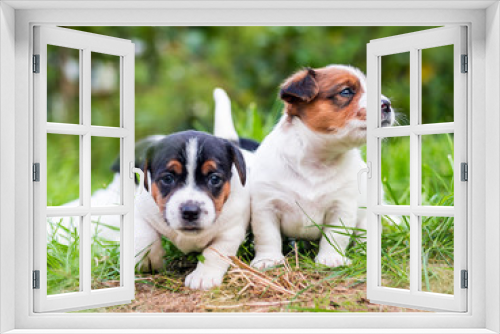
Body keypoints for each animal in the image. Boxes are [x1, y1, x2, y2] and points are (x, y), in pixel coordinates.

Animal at [133, 130, 250, 290]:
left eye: (214, 178)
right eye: (168, 178)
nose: (190, 212)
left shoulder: (231, 231)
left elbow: (215, 251)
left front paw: (204, 276)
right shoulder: (141, 210)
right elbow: (145, 235)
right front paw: (149, 259)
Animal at [250, 65, 394, 268]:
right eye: (346, 91)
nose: (387, 104)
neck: (318, 161)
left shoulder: (340, 207)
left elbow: (335, 236)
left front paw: (331, 258)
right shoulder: (265, 206)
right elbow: (268, 236)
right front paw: (268, 259)